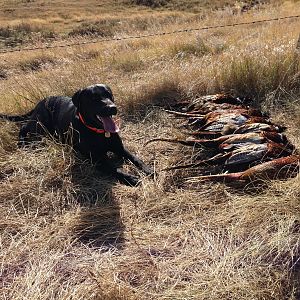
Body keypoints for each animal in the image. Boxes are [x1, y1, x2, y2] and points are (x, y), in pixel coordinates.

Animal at [0, 84, 152, 185]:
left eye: (109, 95)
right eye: (94, 98)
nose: (112, 108)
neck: (98, 131)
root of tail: (40, 102)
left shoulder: (119, 148)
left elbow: (135, 158)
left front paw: (148, 169)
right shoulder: (96, 159)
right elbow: (114, 168)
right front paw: (130, 178)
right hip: (40, 125)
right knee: (24, 127)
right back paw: (21, 143)